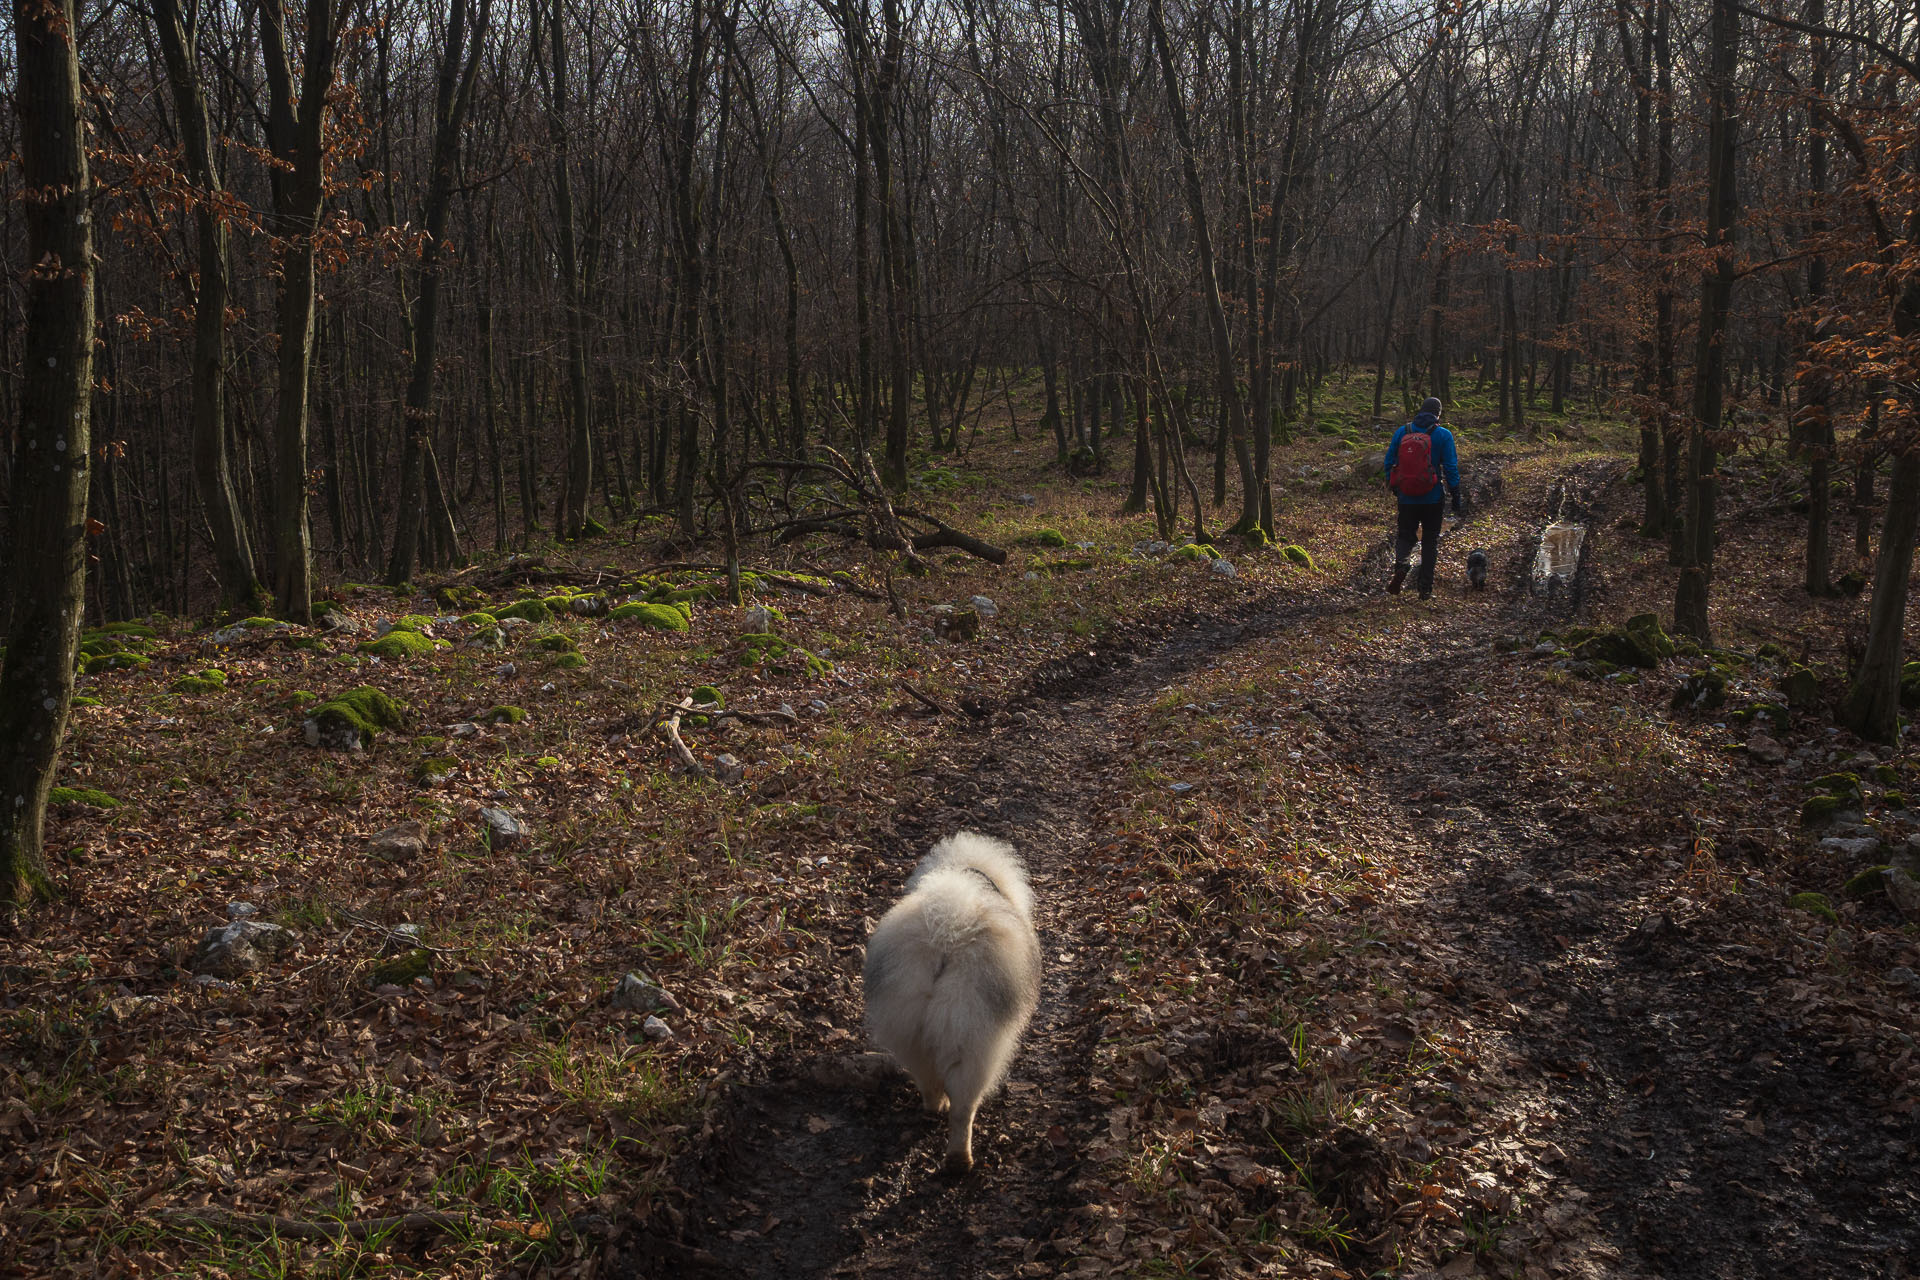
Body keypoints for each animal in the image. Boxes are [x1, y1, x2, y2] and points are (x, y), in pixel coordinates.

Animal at [867, 832, 1044, 1174]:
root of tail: (947, 936)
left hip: (912, 1030)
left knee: (927, 1078)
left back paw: (934, 1109)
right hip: (972, 1041)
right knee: (964, 1107)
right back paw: (960, 1160)